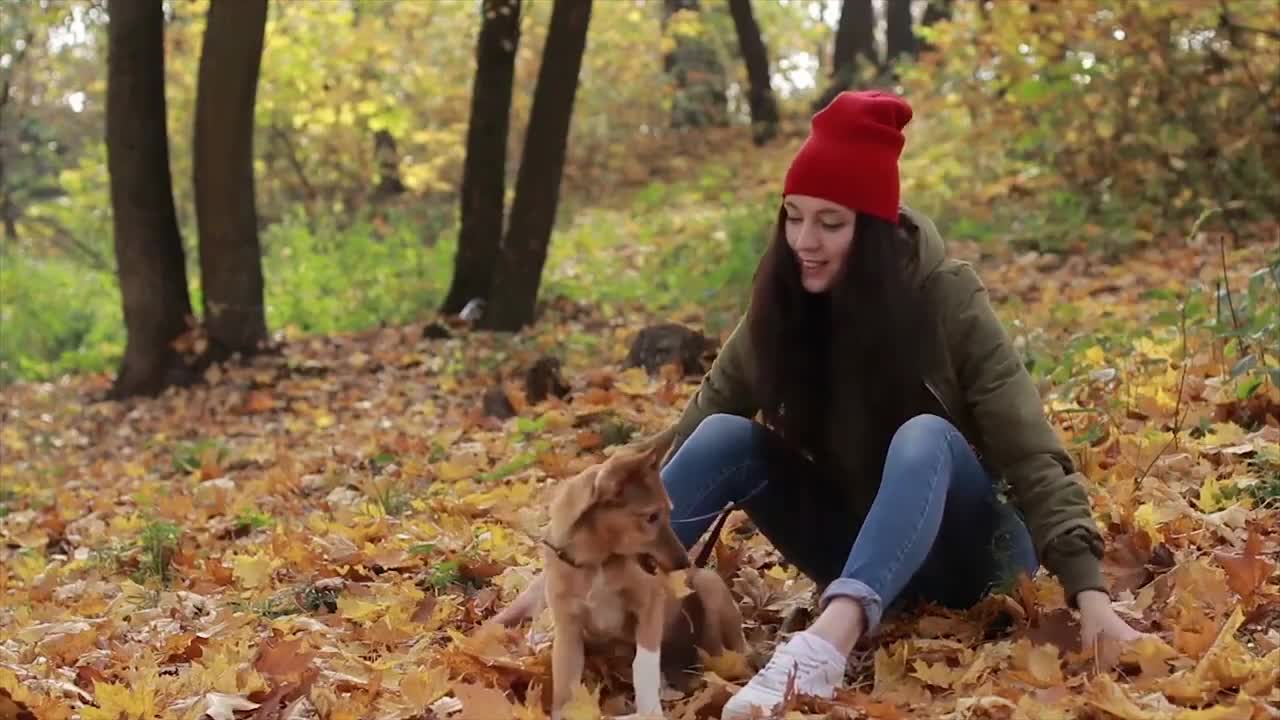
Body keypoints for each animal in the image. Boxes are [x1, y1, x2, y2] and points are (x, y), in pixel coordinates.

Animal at [542, 430, 747, 717]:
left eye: (670, 512)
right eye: (651, 517)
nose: (684, 563)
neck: (596, 563)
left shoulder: (650, 604)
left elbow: (644, 664)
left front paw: (650, 710)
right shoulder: (567, 630)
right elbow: (564, 688)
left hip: (710, 586)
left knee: (731, 654)